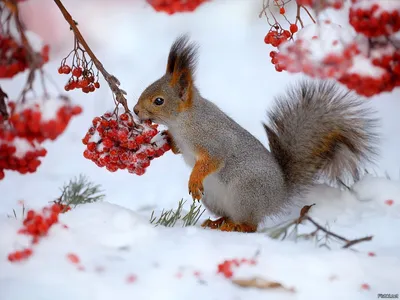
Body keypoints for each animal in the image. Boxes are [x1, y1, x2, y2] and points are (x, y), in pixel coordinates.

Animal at [134, 34, 378, 232]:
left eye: (158, 101)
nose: (135, 111)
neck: (183, 121)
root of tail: (278, 197)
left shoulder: (213, 140)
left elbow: (213, 160)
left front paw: (194, 179)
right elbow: (178, 148)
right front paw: (165, 139)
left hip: (245, 193)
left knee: (251, 225)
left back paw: (236, 226)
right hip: (215, 199)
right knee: (230, 216)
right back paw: (218, 222)